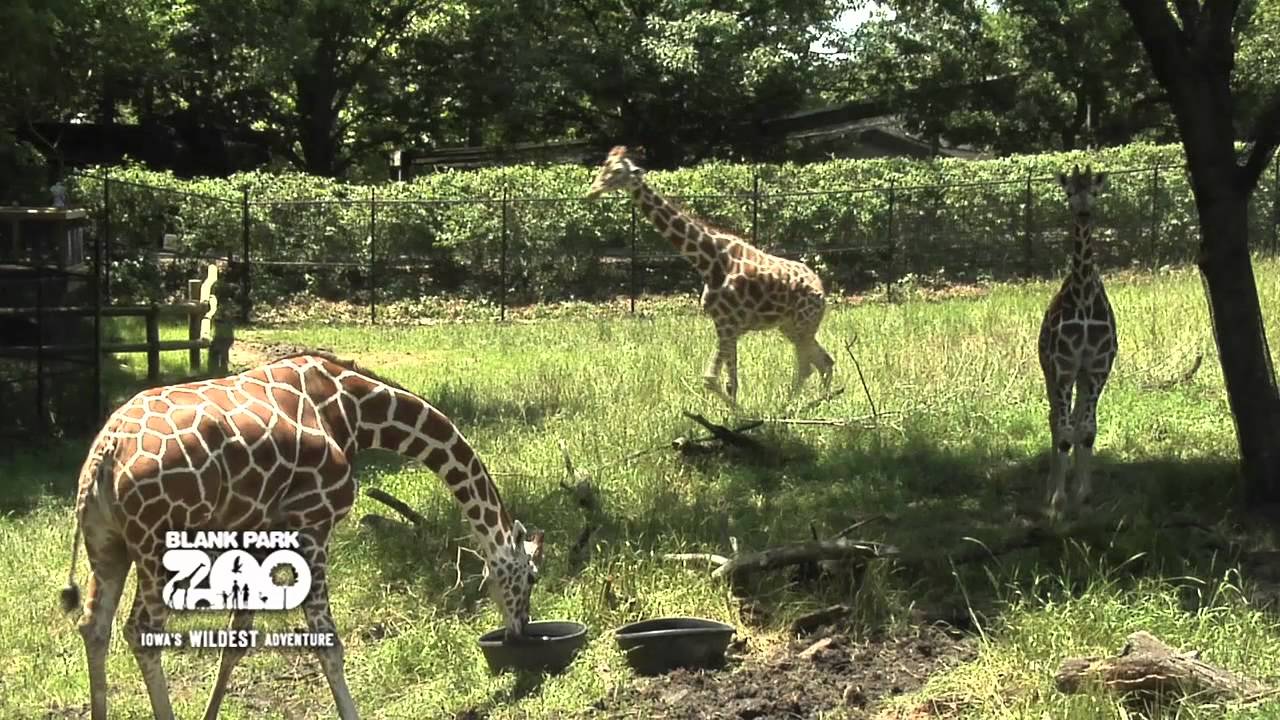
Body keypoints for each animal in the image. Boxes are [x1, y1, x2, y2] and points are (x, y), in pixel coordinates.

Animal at [57, 351, 543, 720]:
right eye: (533, 576)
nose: (521, 630)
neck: (355, 413)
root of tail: (107, 450)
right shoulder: (314, 522)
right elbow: (328, 642)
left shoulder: (256, 532)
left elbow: (238, 637)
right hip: (159, 546)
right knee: (141, 631)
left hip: (107, 543)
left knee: (94, 625)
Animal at [585, 146, 834, 406]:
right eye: (604, 166)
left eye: (617, 171)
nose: (592, 192)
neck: (709, 261)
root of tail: (822, 290)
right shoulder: (725, 325)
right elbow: (729, 382)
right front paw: (733, 411)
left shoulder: (728, 324)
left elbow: (711, 379)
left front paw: (739, 412)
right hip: (791, 327)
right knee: (824, 362)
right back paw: (816, 402)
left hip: (803, 325)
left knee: (809, 366)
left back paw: (790, 407)